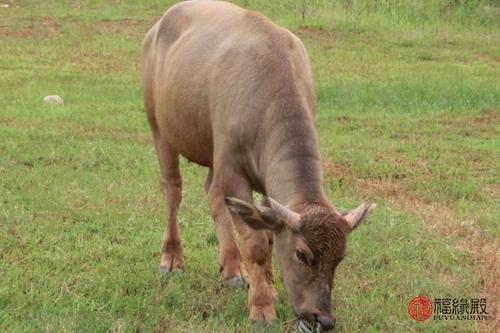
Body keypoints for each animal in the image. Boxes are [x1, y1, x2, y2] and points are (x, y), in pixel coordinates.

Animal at [142, 0, 376, 330]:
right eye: (301, 254)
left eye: (340, 258)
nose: (322, 319)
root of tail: (157, 27)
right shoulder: (233, 170)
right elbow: (256, 244)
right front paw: (262, 306)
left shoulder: (262, 182)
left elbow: (267, 235)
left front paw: (268, 287)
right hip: (160, 128)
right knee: (173, 190)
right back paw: (172, 260)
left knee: (213, 194)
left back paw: (233, 269)